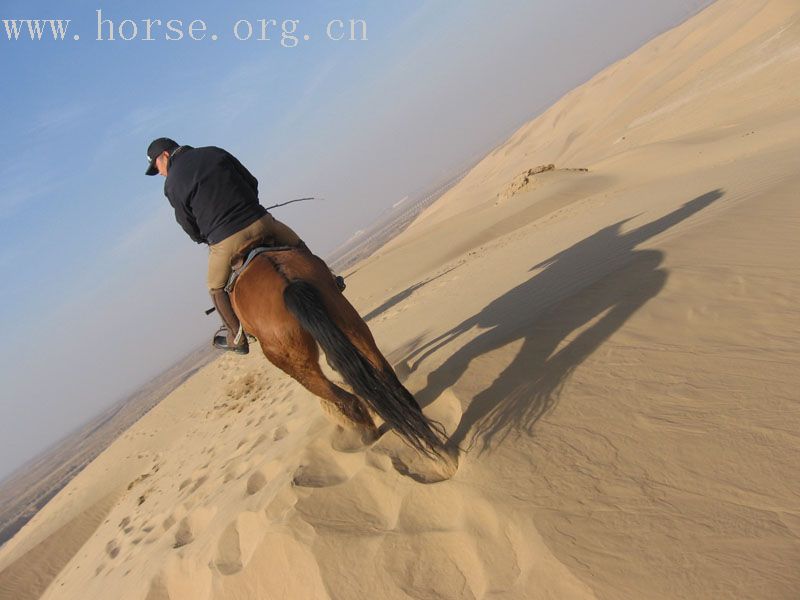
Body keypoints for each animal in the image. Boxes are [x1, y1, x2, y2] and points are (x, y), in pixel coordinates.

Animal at [227, 241, 450, 462]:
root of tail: (287, 282)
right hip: (348, 320)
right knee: (383, 372)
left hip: (289, 359)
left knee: (342, 396)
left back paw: (368, 433)